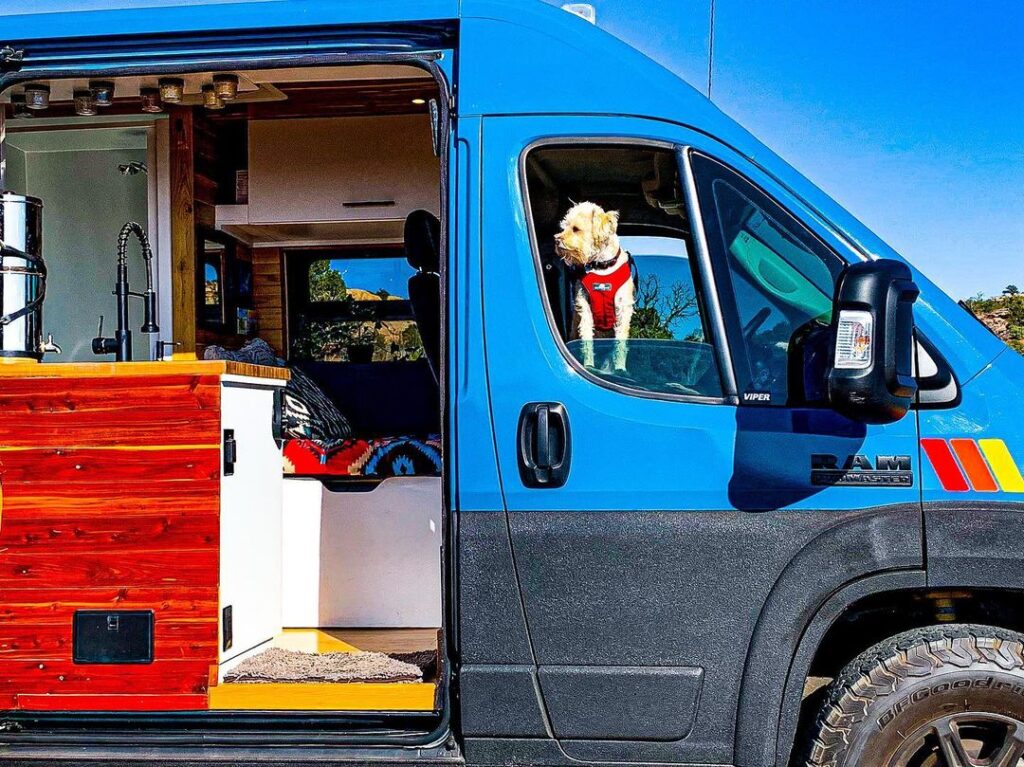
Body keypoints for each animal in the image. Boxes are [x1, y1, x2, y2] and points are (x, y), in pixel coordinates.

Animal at [552, 200, 630, 370]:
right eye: (564, 226)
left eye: (576, 229)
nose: (556, 239)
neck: (602, 267)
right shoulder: (585, 308)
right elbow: (587, 340)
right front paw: (588, 364)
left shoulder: (623, 309)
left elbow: (620, 343)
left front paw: (620, 367)